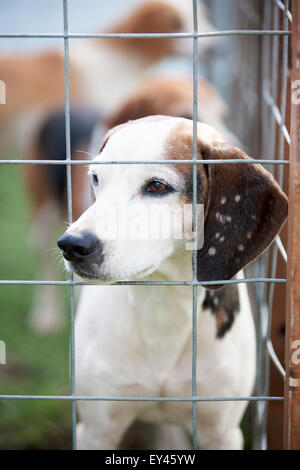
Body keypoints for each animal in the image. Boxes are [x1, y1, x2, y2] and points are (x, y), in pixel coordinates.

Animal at [56, 115, 288, 450]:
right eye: (97, 178)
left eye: (157, 186)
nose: (73, 245)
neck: (163, 303)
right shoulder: (97, 429)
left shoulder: (222, 432)